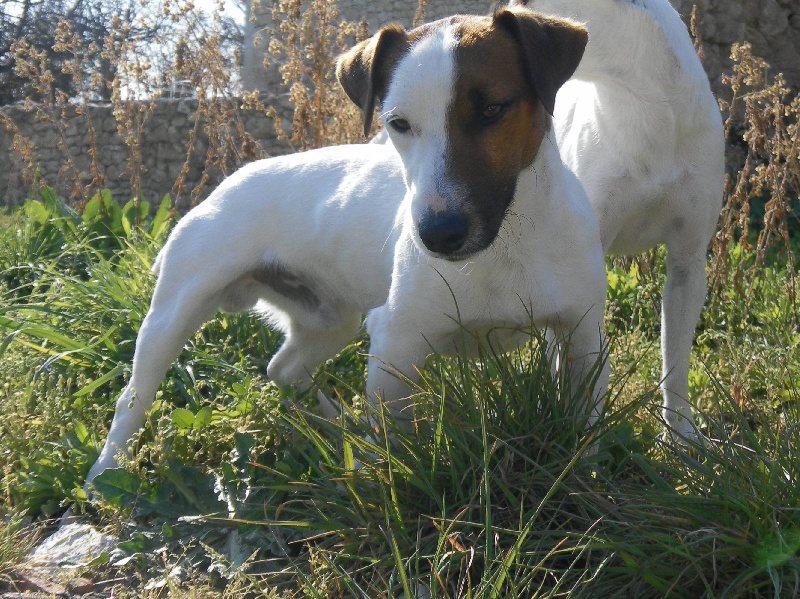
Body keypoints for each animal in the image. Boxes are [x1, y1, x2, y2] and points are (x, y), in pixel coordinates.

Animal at [84, 7, 608, 488]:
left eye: (491, 110)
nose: (436, 234)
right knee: (133, 397)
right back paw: (106, 472)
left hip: (329, 320)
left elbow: (586, 422)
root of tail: (226, 183)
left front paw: (588, 475)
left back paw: (336, 425)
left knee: (284, 367)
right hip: (176, 313)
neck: (506, 246)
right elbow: (393, 438)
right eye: (398, 124)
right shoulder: (396, 341)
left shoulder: (582, 337)